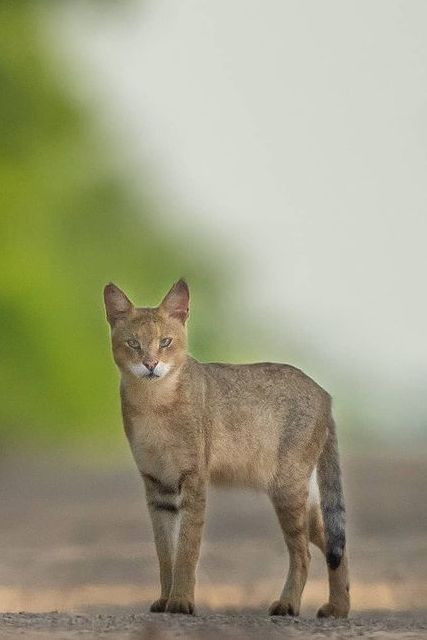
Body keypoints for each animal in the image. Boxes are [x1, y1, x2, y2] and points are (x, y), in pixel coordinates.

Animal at [103, 280, 352, 620]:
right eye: (133, 343)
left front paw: (181, 601)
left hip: (287, 489)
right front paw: (165, 599)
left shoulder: (192, 480)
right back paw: (339, 607)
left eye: (165, 342)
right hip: (301, 496)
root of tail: (325, 394)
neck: (153, 403)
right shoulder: (158, 487)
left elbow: (187, 549)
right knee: (332, 543)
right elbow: (165, 552)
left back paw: (288, 604)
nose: (150, 364)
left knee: (304, 553)